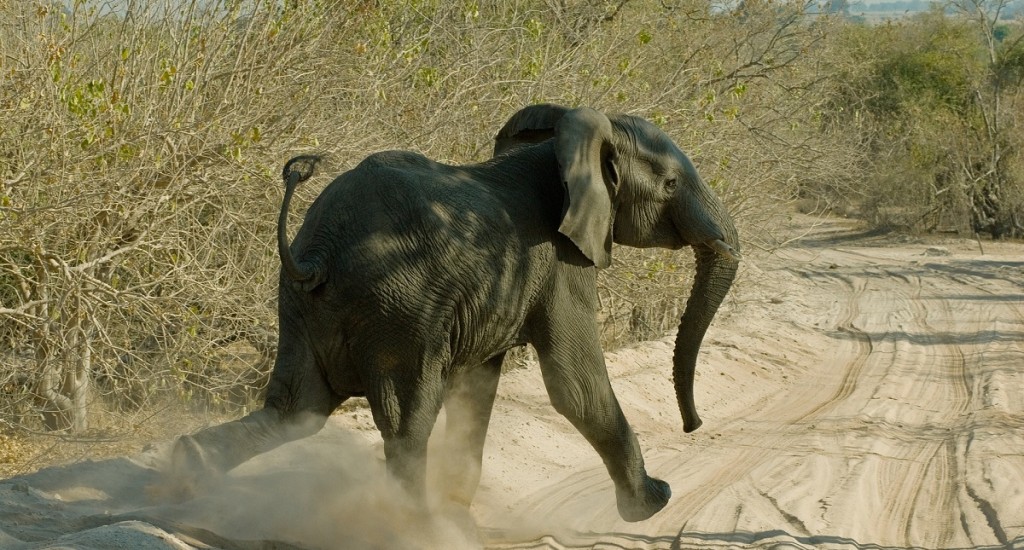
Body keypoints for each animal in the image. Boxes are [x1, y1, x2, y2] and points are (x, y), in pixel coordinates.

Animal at [169, 103, 745, 522]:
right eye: (671, 185)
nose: (694, 426)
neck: (567, 142)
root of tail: (318, 252)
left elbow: (477, 388)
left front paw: (461, 516)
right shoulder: (563, 260)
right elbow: (575, 386)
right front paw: (654, 503)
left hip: (303, 304)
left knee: (296, 408)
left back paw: (184, 472)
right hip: (400, 308)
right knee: (407, 423)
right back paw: (414, 525)